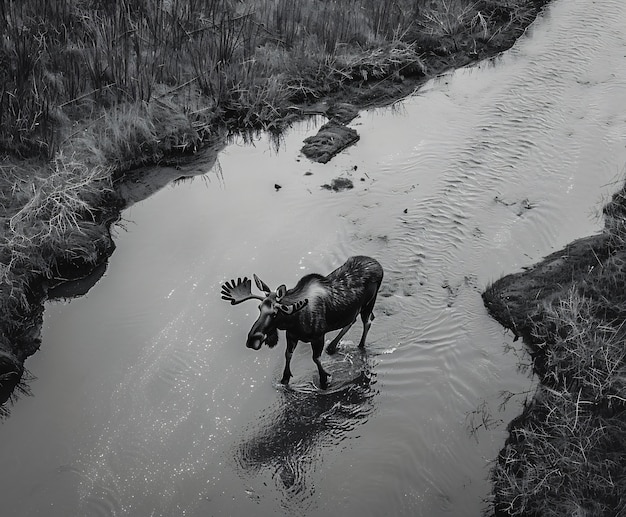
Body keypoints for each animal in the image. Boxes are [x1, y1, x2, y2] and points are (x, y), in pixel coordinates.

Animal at [222, 254, 382, 388]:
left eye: (275, 313)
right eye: (259, 307)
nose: (252, 340)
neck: (293, 321)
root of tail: (378, 266)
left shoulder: (318, 336)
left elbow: (315, 358)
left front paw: (325, 379)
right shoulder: (291, 335)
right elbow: (288, 354)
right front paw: (285, 379)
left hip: (369, 304)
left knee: (367, 322)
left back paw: (360, 346)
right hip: (354, 309)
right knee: (352, 321)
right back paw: (332, 347)